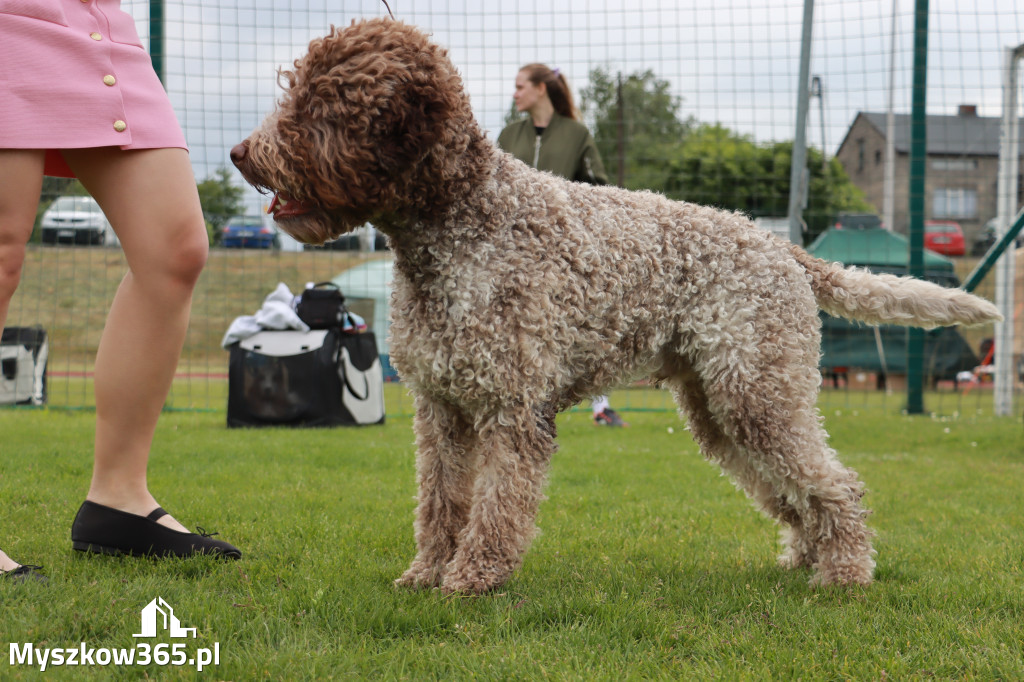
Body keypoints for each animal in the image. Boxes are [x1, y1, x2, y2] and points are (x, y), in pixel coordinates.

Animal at [230, 17, 999, 589]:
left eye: (321, 104)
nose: (241, 153)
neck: (463, 227)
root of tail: (782, 248)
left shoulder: (512, 406)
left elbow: (497, 503)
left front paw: (474, 577)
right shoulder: (442, 409)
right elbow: (441, 500)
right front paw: (425, 573)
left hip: (758, 390)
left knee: (835, 483)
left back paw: (843, 571)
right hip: (721, 404)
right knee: (788, 485)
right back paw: (805, 557)